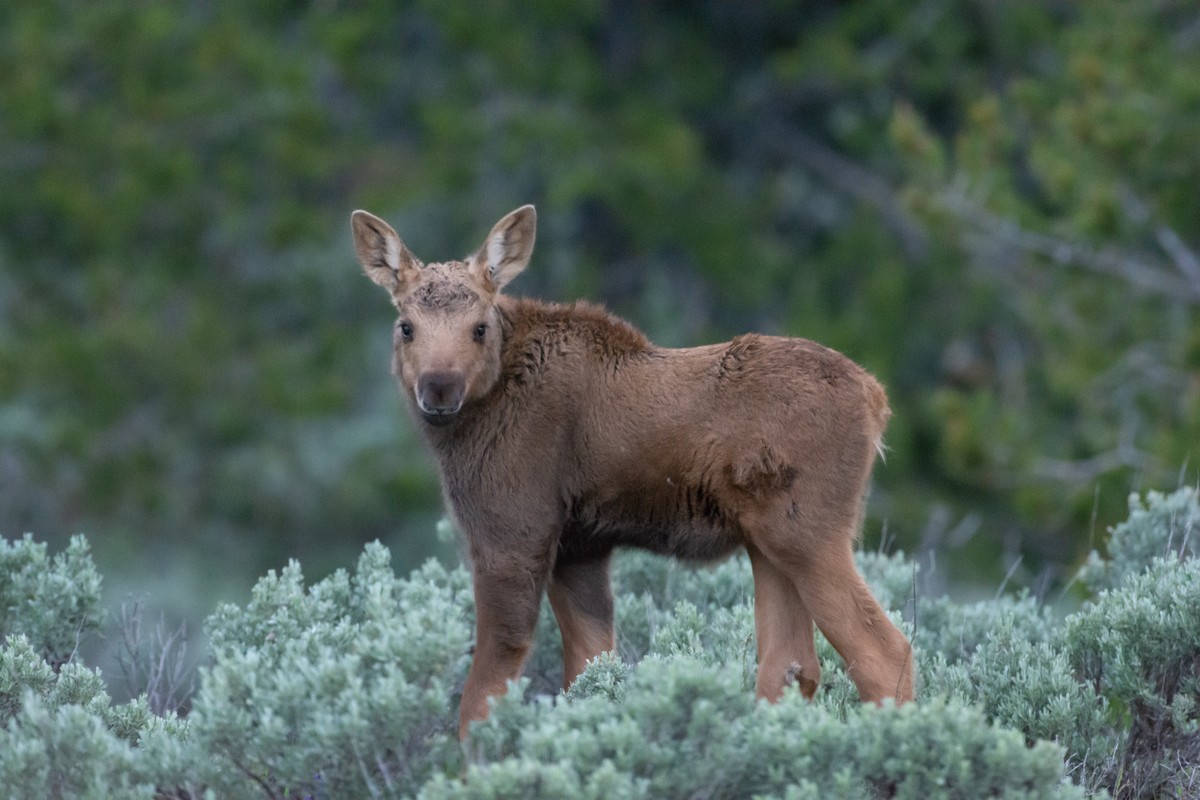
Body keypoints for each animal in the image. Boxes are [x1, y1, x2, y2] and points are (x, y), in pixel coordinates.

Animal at [350, 205, 912, 738]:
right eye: (406, 326)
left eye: (479, 327)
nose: (439, 388)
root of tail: (877, 399)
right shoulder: (579, 548)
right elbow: (590, 674)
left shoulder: (510, 536)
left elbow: (481, 698)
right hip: (767, 541)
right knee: (791, 666)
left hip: (807, 532)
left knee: (883, 653)